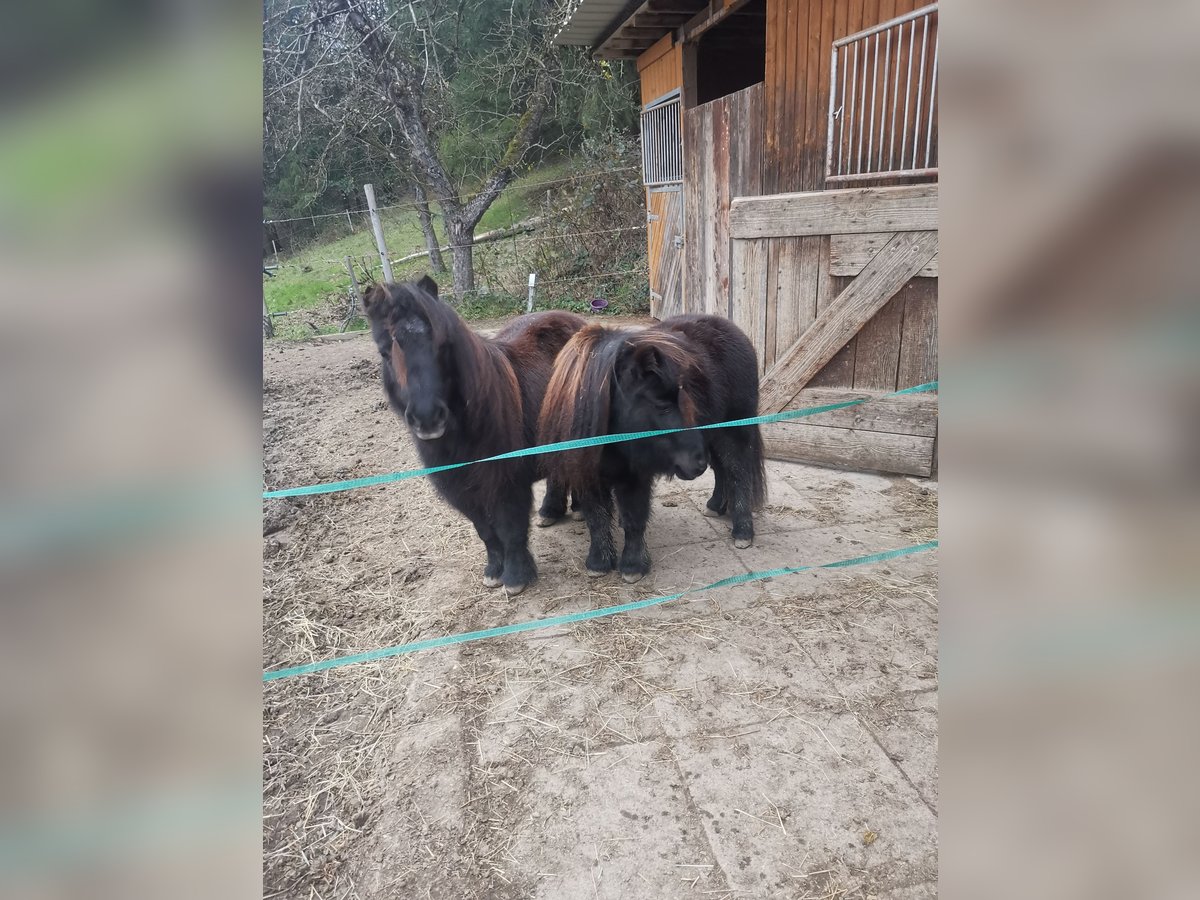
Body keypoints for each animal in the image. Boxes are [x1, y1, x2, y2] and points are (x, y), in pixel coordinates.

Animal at [364, 278, 590, 595]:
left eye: (441, 346)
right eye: (384, 351)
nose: (428, 418)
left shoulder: (507, 484)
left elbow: (510, 529)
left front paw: (516, 577)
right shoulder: (462, 491)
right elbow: (485, 532)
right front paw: (494, 571)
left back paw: (578, 509)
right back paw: (550, 511)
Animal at [540, 316, 763, 585]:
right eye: (662, 405)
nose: (696, 464)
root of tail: (733, 330)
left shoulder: (634, 476)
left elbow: (634, 518)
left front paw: (632, 566)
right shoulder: (587, 475)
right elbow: (596, 517)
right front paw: (598, 562)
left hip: (732, 432)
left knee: (738, 473)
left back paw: (743, 531)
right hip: (712, 435)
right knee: (722, 470)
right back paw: (715, 505)